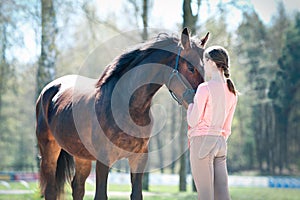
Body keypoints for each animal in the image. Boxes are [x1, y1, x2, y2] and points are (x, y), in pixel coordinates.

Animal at [35, 28, 209, 200]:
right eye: (191, 68)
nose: (203, 102)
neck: (128, 107)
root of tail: (49, 89)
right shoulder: (104, 160)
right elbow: (101, 195)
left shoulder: (139, 158)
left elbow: (137, 194)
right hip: (50, 151)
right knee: (51, 190)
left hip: (81, 156)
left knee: (77, 187)